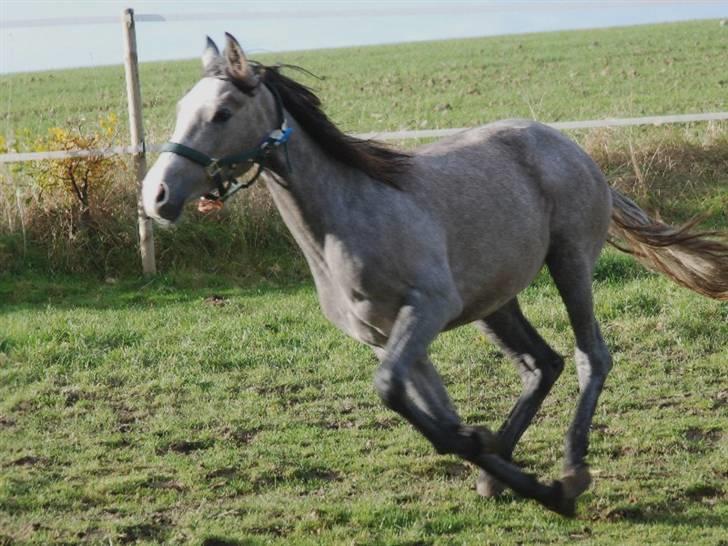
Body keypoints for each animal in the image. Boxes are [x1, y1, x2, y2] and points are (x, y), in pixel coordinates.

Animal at [142, 35, 728, 516]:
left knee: (591, 356)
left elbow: (394, 394)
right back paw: (507, 470)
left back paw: (572, 469)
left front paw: (548, 486)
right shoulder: (386, 338)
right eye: (181, 109)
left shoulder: (427, 309)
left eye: (223, 112)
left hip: (569, 264)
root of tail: (574, 150)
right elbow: (435, 417)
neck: (346, 221)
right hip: (494, 301)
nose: (157, 196)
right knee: (543, 363)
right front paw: (494, 456)